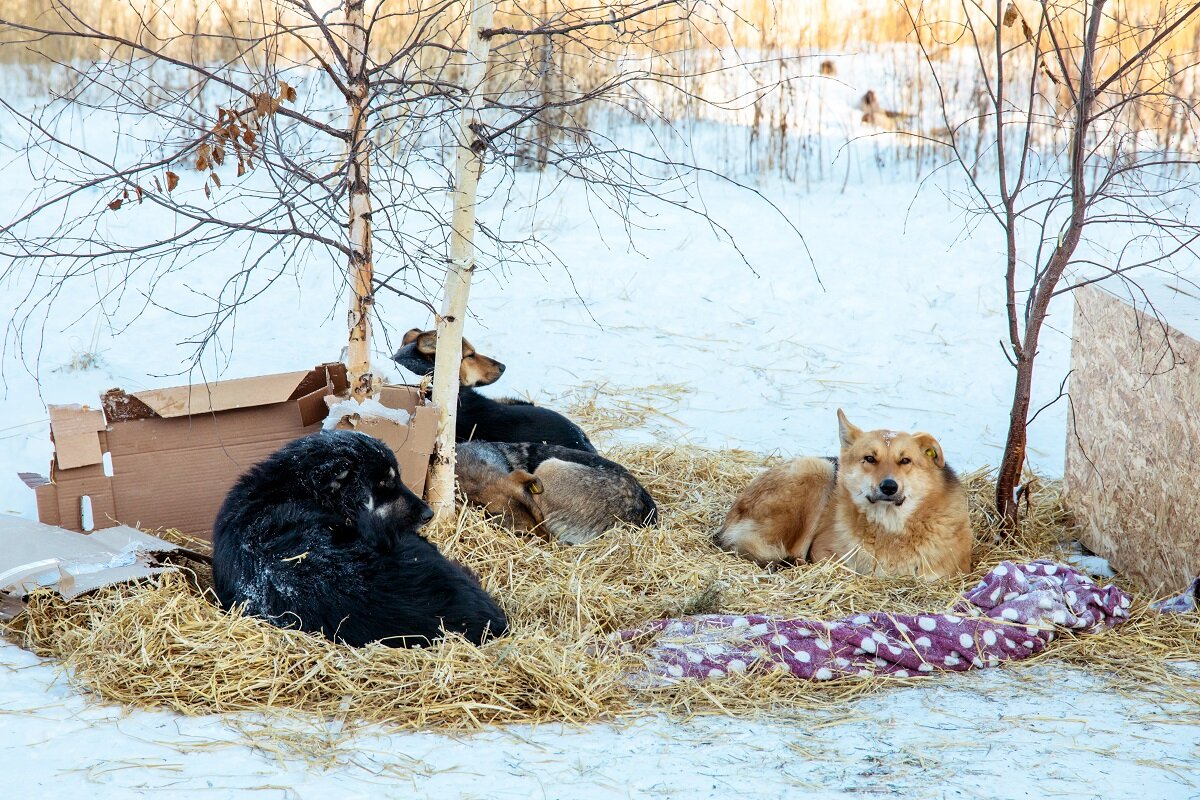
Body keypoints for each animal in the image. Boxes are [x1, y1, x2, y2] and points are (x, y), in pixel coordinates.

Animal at [715, 410, 969, 578]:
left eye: (905, 460)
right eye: (870, 458)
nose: (889, 487)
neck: (891, 527)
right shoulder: (823, 552)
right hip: (819, 469)